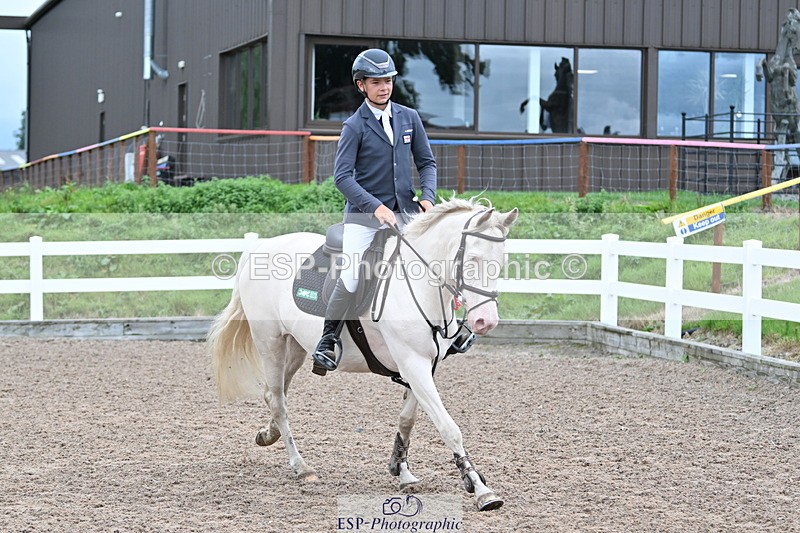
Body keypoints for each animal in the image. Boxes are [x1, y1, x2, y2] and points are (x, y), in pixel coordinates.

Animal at [207, 198, 518, 511]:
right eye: (473, 260)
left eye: (501, 263)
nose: (486, 322)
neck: (421, 287)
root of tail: (259, 249)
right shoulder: (413, 364)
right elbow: (449, 427)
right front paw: (480, 488)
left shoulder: (424, 366)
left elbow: (407, 420)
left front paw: (401, 470)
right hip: (270, 342)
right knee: (279, 401)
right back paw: (301, 466)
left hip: (294, 346)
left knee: (274, 394)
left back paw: (267, 435)